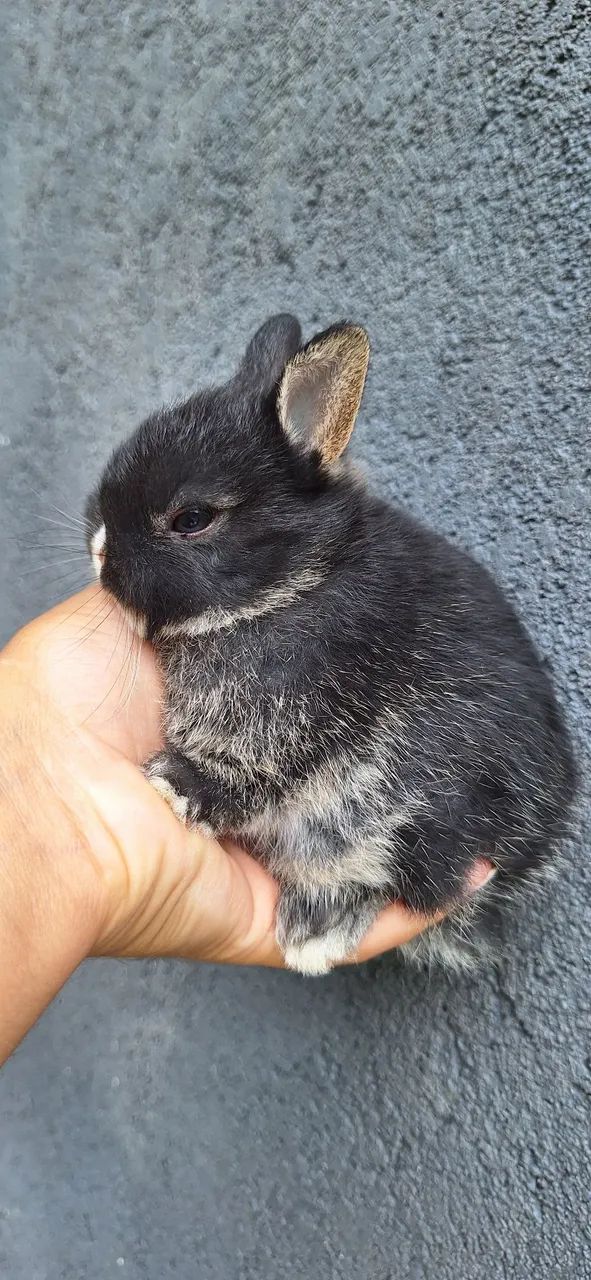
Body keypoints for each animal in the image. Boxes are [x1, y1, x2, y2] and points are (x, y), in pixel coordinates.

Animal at [86, 315, 577, 975]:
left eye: (191, 519)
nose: (100, 553)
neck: (297, 583)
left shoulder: (281, 715)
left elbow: (247, 773)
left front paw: (175, 784)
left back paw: (314, 934)